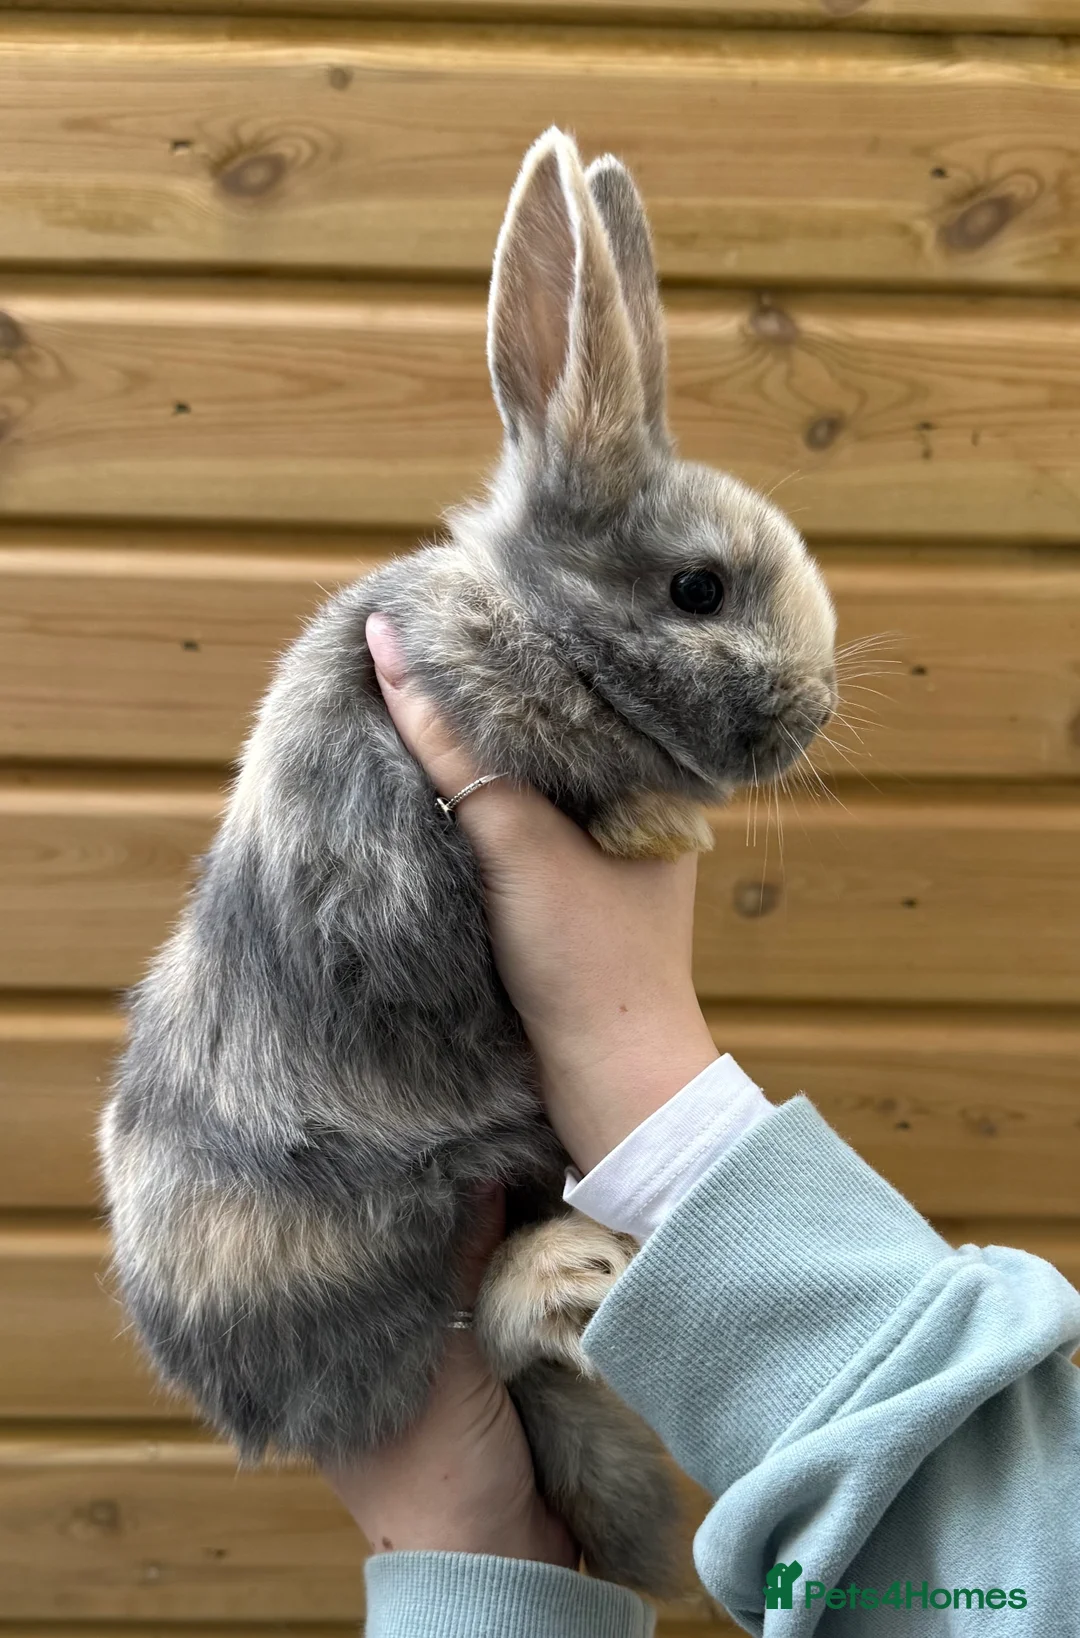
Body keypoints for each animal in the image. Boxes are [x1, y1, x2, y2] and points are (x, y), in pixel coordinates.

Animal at [99, 126, 836, 1599]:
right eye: (699, 590)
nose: (814, 714)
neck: (532, 620)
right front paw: (660, 823)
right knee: (469, 1341)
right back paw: (564, 1278)